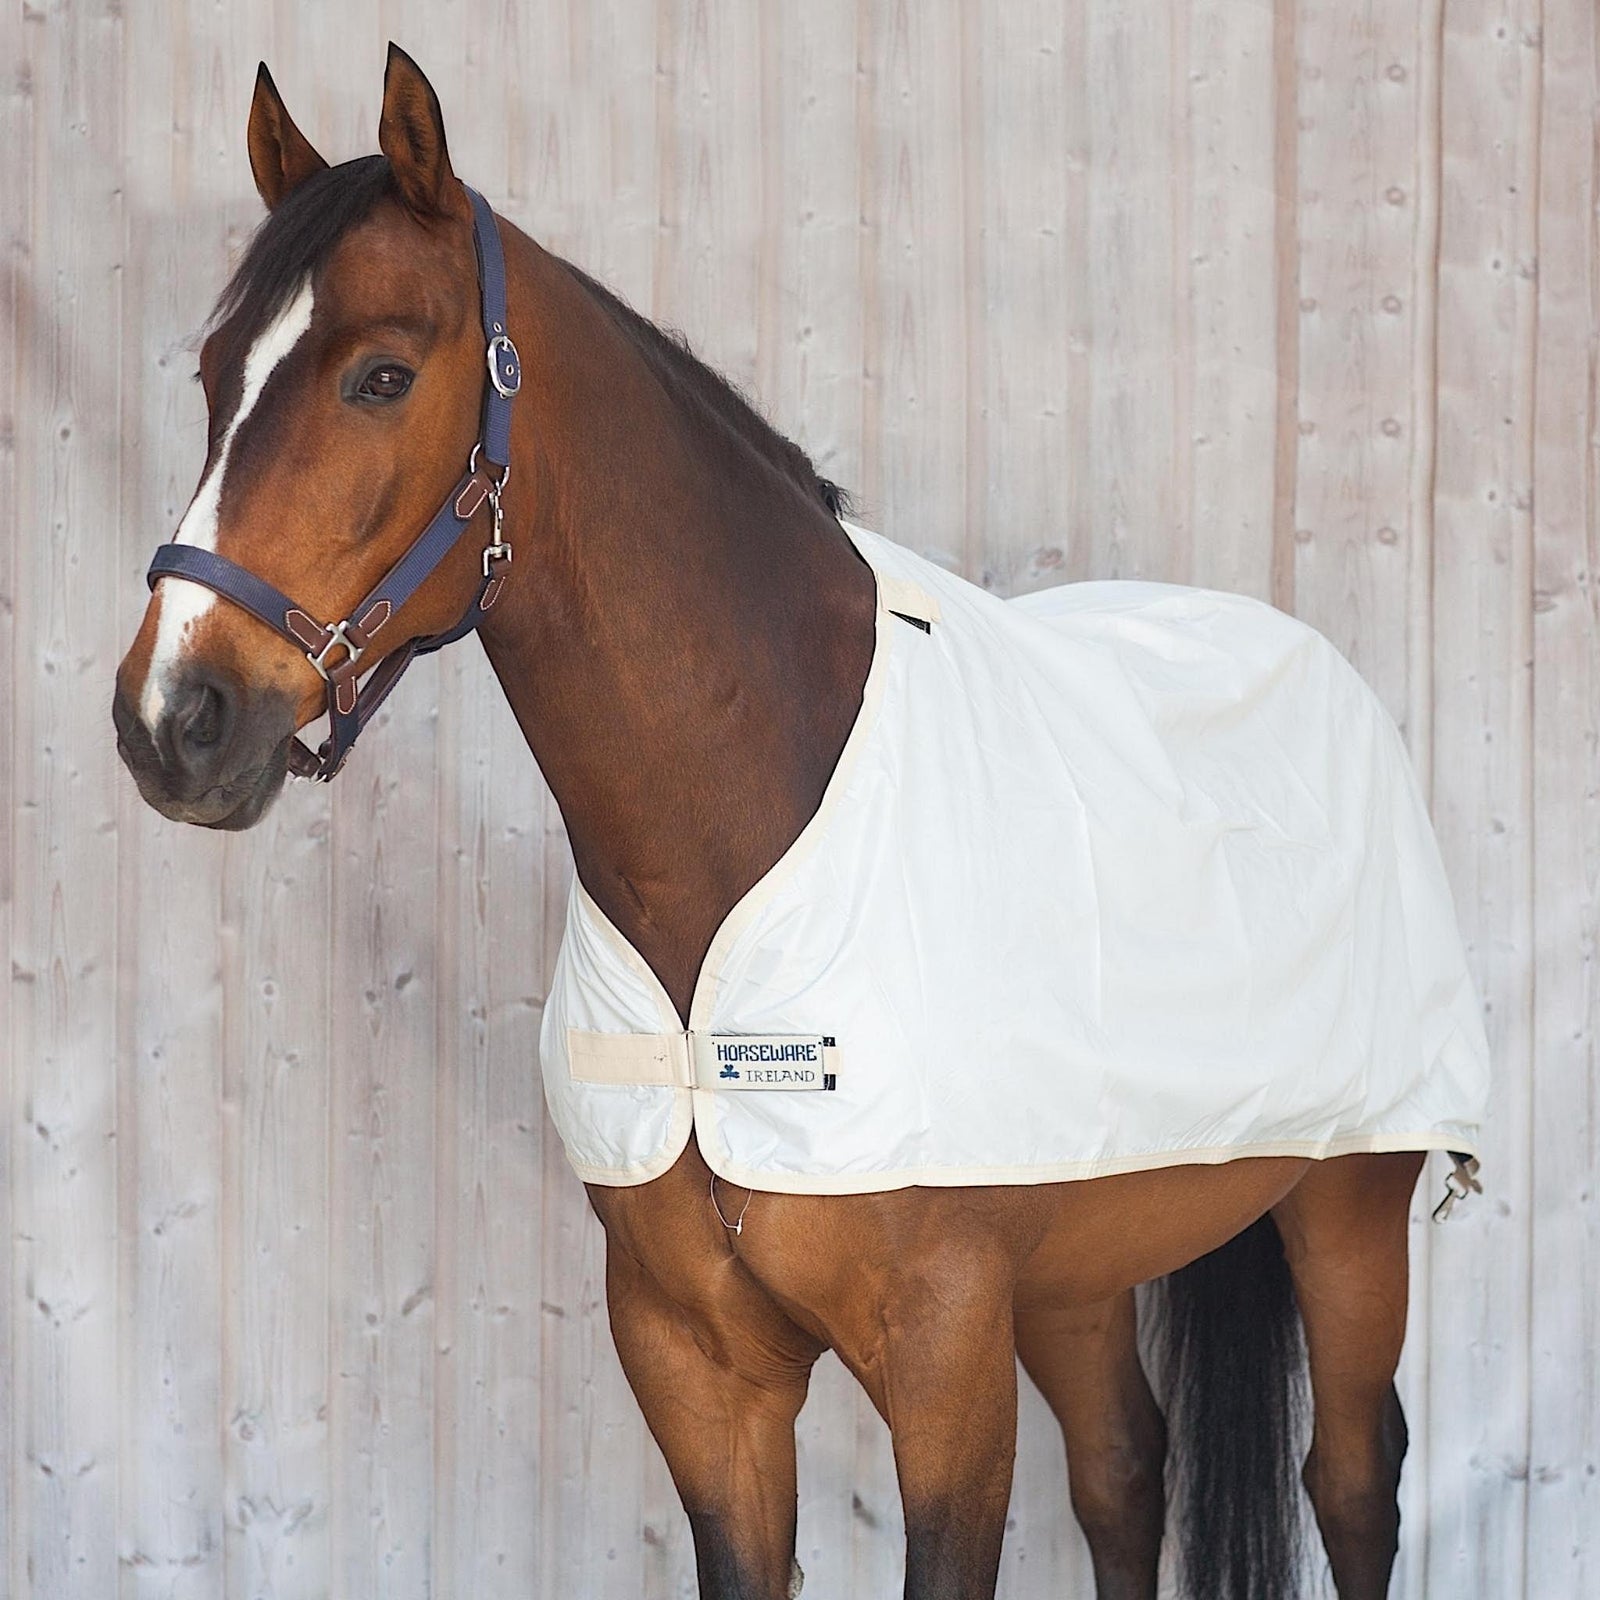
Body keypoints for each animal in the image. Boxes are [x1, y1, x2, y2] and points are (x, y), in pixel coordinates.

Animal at [113, 47, 1484, 1600]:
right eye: (214, 375)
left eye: (382, 375)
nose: (175, 716)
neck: (746, 836)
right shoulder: (698, 1371)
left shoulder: (945, 1371)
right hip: (1078, 1264)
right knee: (1125, 1474)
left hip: (1349, 1212)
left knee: (1353, 1482)